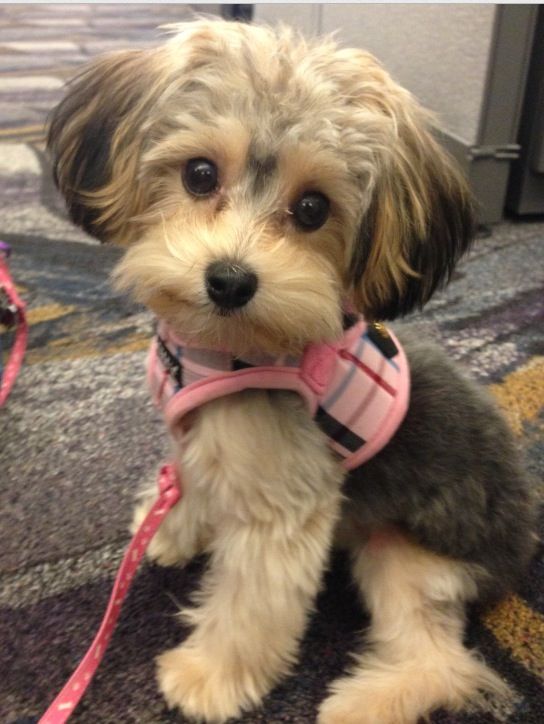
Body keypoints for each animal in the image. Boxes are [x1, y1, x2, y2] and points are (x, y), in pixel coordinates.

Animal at [46, 19, 536, 724]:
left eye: (312, 209)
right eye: (200, 174)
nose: (229, 280)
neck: (214, 351)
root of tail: (523, 533)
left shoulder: (279, 506)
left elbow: (250, 604)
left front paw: (210, 676)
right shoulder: (198, 435)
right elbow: (191, 480)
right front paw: (170, 528)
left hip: (407, 555)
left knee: (444, 661)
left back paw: (362, 703)